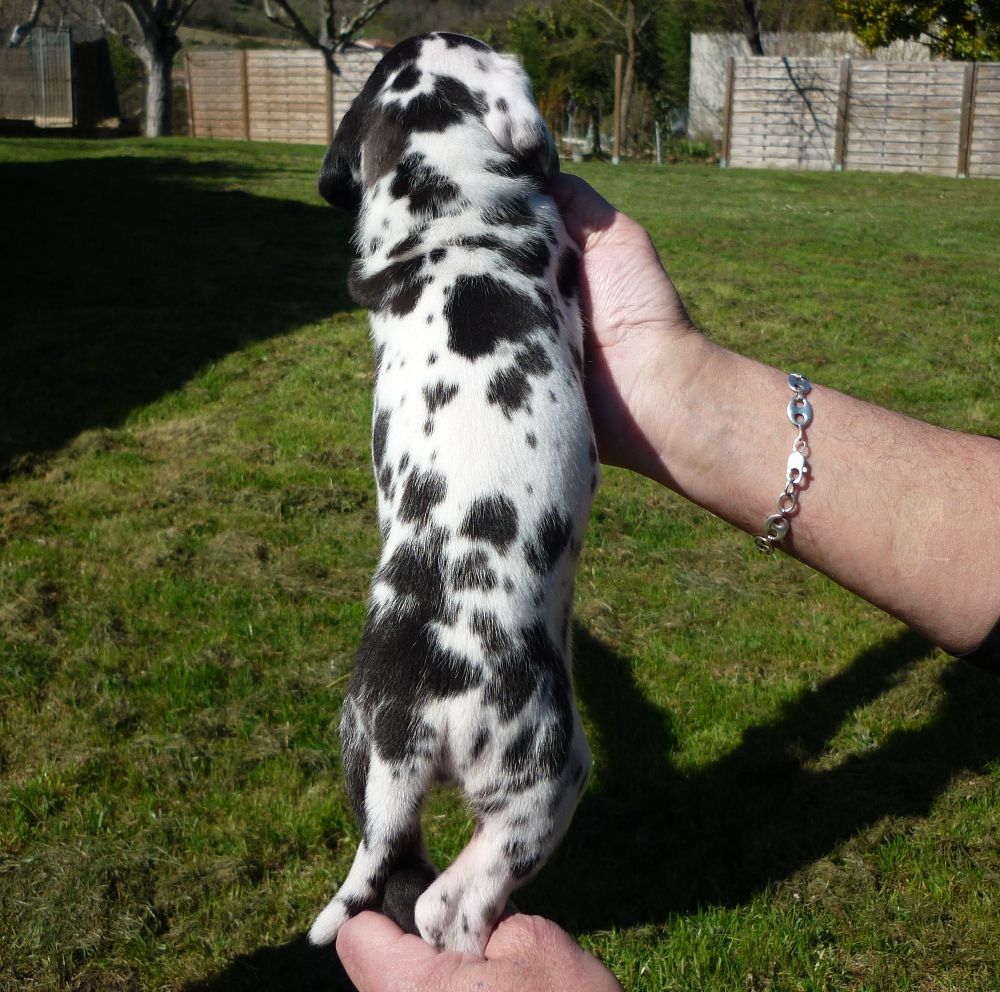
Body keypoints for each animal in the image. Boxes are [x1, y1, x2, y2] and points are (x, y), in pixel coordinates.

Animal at [308, 32, 598, 956]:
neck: (441, 203)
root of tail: (413, 726)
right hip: (548, 773)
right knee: (452, 905)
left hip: (359, 757)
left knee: (400, 872)